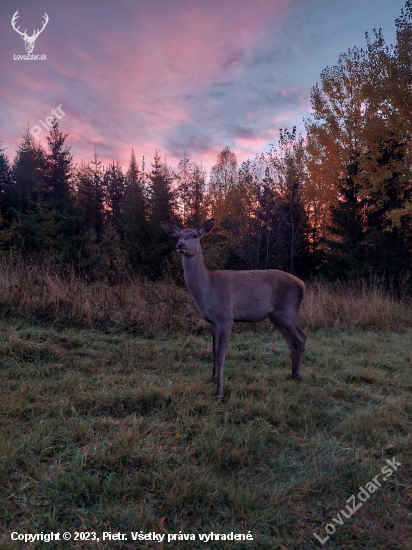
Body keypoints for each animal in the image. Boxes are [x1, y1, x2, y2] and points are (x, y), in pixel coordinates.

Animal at [161, 218, 306, 398]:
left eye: (195, 235)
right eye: (179, 235)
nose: (180, 245)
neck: (207, 290)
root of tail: (303, 285)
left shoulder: (225, 318)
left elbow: (221, 355)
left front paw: (219, 392)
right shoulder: (212, 321)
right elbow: (214, 350)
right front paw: (212, 378)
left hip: (288, 312)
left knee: (301, 337)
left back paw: (298, 376)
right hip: (276, 317)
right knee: (291, 342)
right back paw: (292, 376)